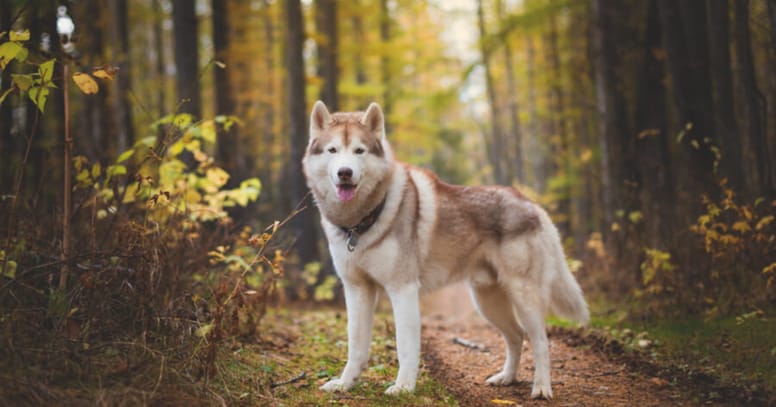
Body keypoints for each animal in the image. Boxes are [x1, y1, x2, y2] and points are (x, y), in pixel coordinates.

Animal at [304, 101, 588, 398]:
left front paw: (404, 387)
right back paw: (506, 378)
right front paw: (345, 383)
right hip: (488, 302)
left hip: (524, 296)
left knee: (541, 341)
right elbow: (356, 345)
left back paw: (542, 388)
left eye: (359, 150)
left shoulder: (403, 289)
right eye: (333, 150)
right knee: (516, 336)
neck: (360, 223)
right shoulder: (357, 290)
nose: (345, 172)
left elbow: (405, 346)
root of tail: (532, 204)